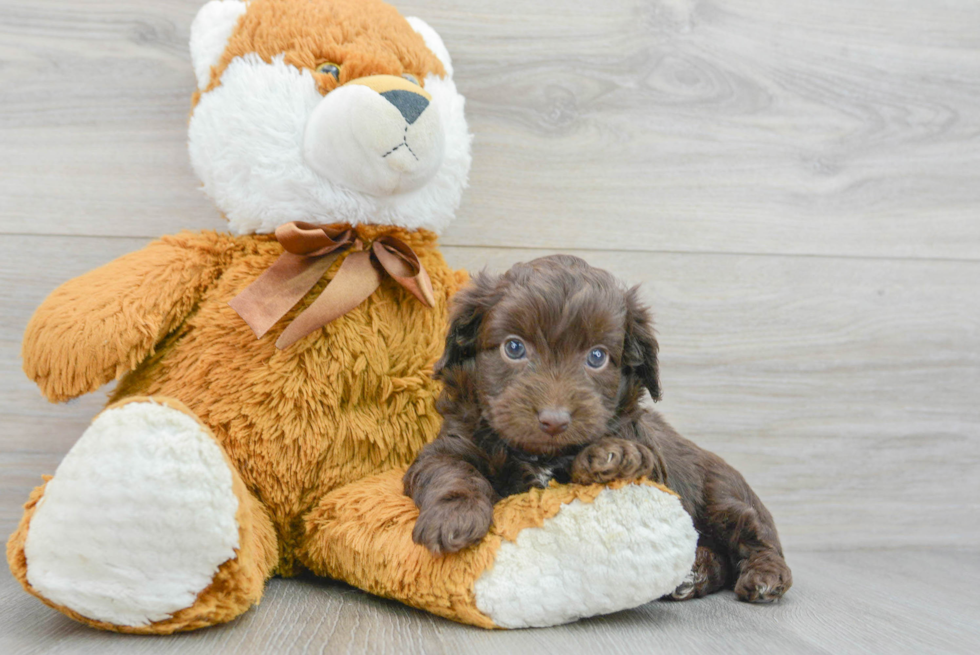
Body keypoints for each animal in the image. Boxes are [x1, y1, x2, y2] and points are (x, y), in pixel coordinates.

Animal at [402, 254, 792, 604]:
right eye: (513, 347)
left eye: (597, 356)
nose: (554, 419)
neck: (542, 455)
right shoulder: (449, 445)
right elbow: (451, 472)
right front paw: (454, 517)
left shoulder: (656, 471)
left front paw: (613, 455)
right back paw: (693, 574)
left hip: (722, 497)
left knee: (753, 535)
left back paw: (765, 577)